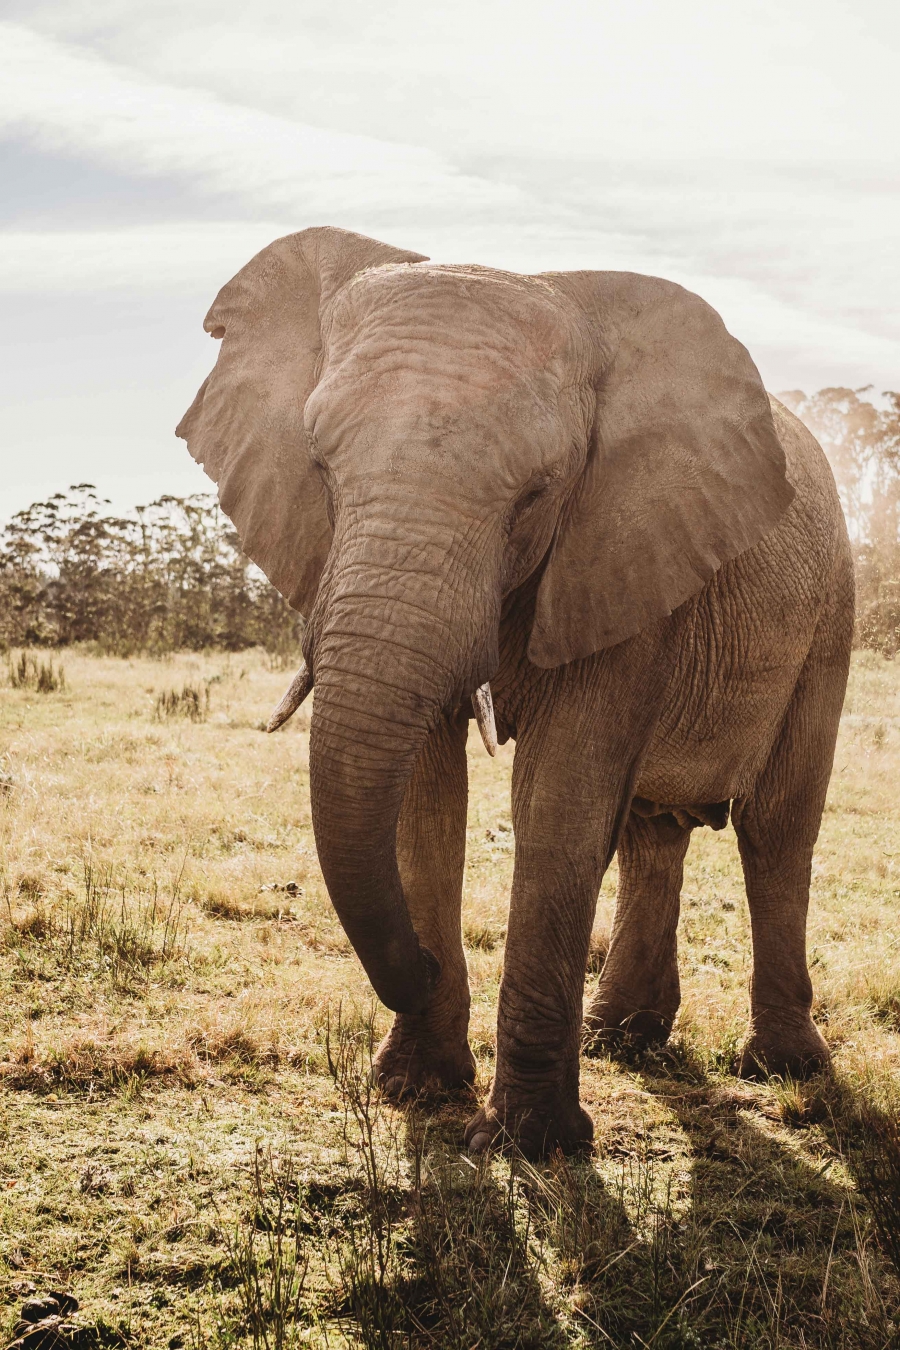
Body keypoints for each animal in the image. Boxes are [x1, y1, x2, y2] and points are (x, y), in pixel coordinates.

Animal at [174, 226, 852, 1155]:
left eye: (537, 492)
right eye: (320, 467)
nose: (420, 968)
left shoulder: (621, 546)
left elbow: (559, 799)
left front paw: (532, 1143)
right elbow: (427, 799)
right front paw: (418, 1086)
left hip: (830, 618)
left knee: (777, 830)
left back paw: (784, 1069)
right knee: (651, 831)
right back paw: (620, 1039)